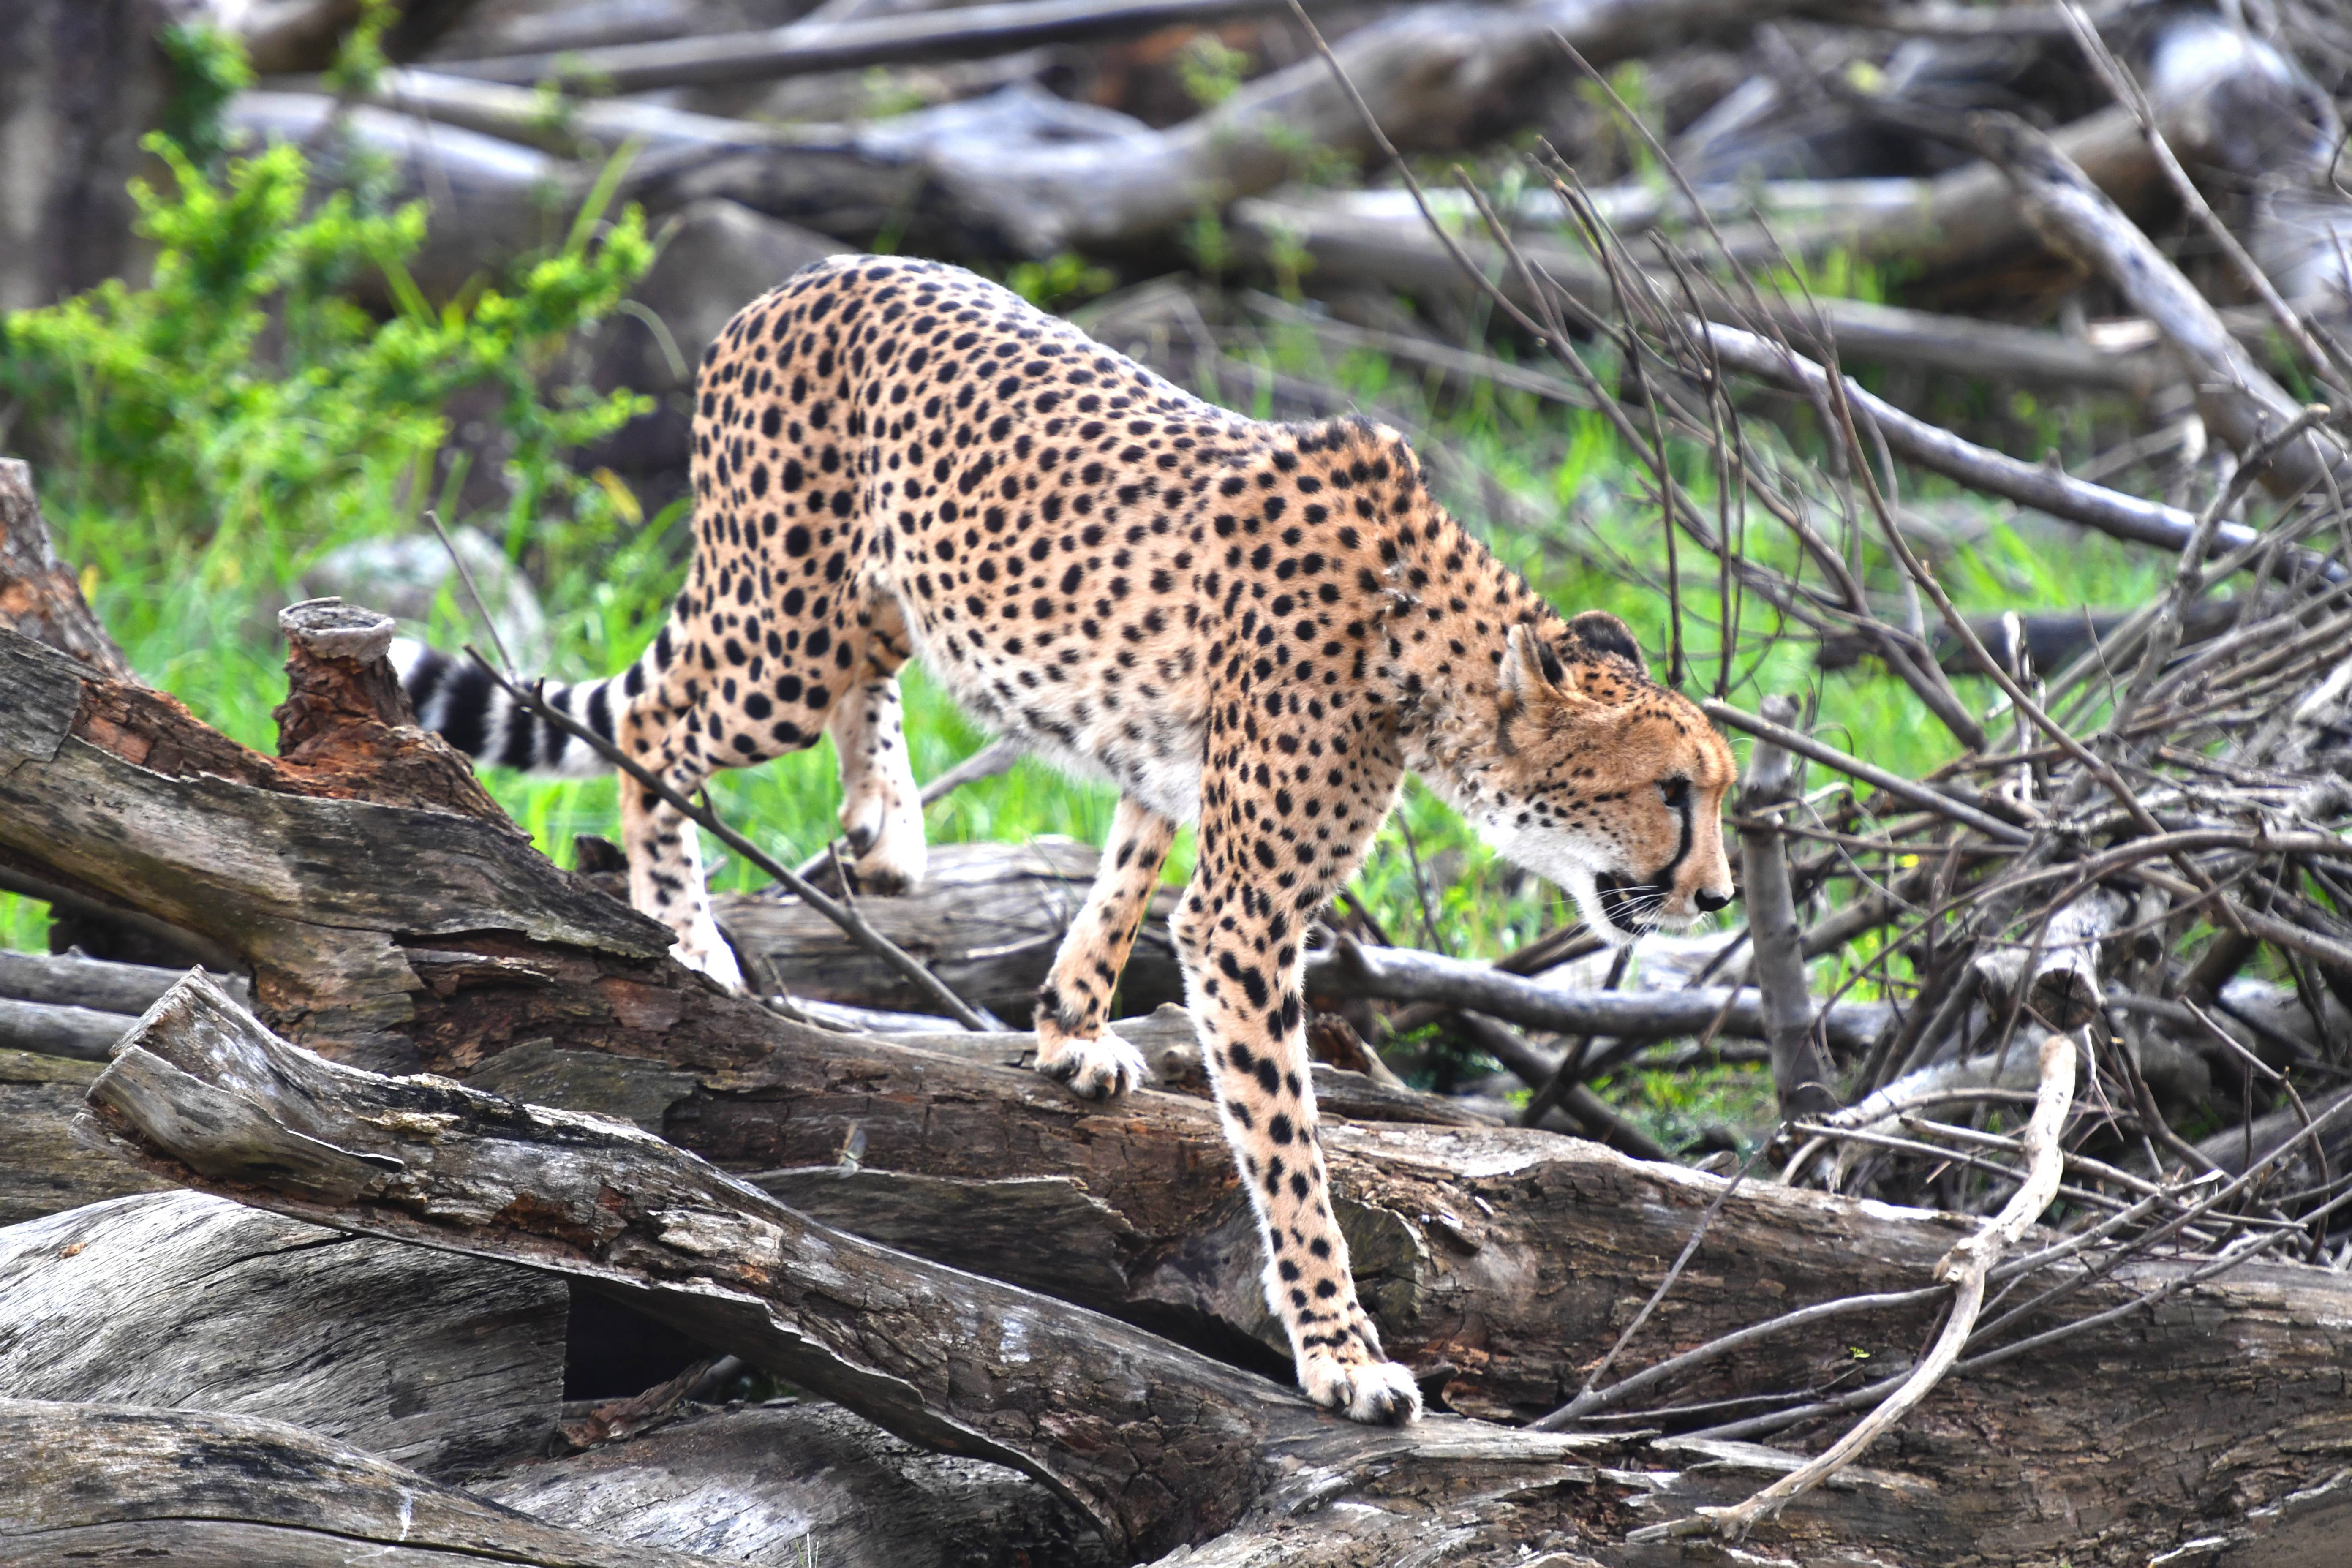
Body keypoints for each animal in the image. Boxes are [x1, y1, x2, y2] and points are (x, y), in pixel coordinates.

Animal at [395, 257, 1740, 1438]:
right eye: (1674, 791)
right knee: (659, 727)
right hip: (785, 628)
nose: (1721, 896)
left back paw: (886, 821)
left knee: (848, 685)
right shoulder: (1250, 916)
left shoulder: (1167, 763)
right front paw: (1342, 1354)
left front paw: (1068, 1028)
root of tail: (801, 279)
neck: (1425, 654)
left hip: (870, 601)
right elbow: (1291, 1155)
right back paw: (687, 931)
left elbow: (1125, 874)